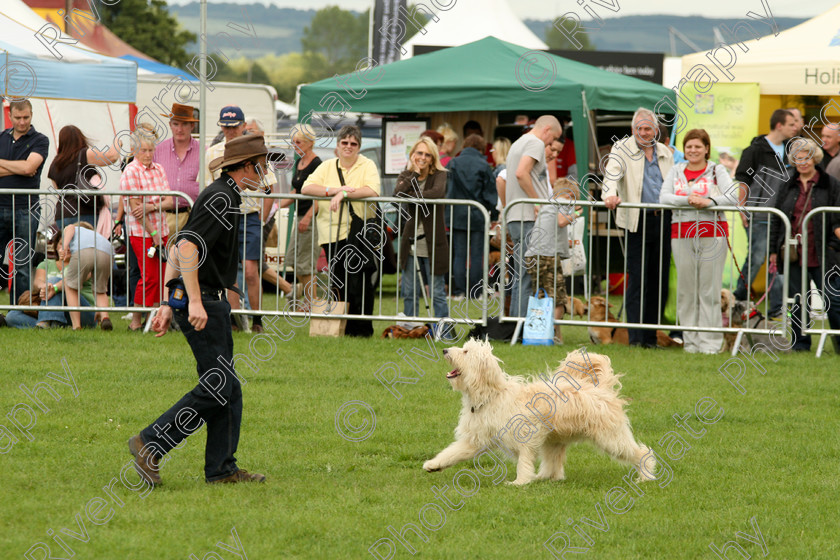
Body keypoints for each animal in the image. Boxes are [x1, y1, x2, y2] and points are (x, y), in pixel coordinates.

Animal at [420, 336, 656, 486]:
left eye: (466, 351)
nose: (444, 350)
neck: (492, 395)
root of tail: (601, 388)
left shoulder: (525, 434)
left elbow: (524, 460)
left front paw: (520, 482)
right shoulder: (475, 439)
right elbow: (453, 452)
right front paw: (433, 465)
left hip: (610, 437)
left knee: (640, 453)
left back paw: (645, 476)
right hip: (555, 440)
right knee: (554, 466)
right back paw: (543, 478)